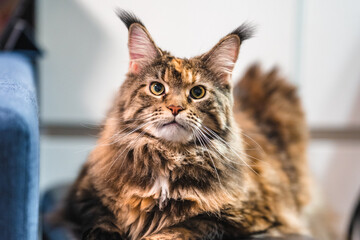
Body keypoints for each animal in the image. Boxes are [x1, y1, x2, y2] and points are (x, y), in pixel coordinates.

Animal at [58, 10, 318, 240]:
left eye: (197, 92)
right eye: (157, 88)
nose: (175, 108)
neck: (168, 156)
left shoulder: (245, 216)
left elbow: (180, 228)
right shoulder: (83, 197)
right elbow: (102, 220)